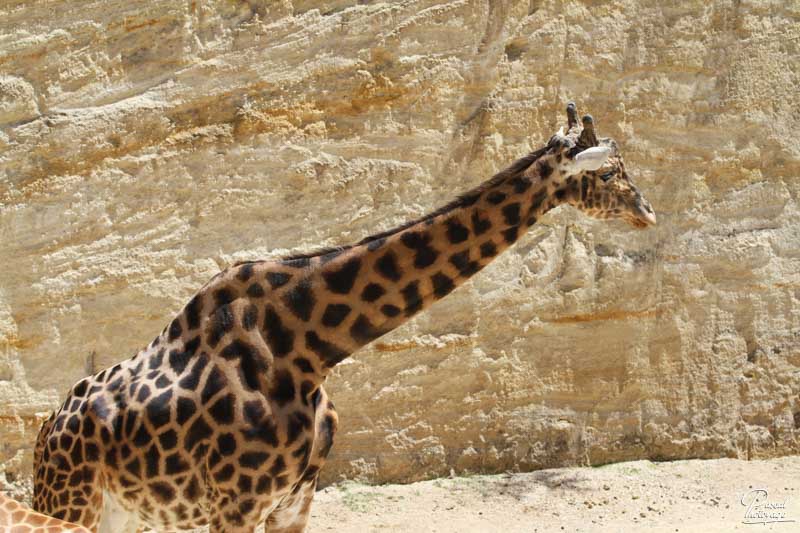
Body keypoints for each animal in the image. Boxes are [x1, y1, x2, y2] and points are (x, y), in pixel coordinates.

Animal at [31, 104, 656, 532]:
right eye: (609, 173)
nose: (648, 212)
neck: (307, 350)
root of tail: (46, 429)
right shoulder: (236, 504)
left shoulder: (294, 501)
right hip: (70, 501)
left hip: (127, 514)